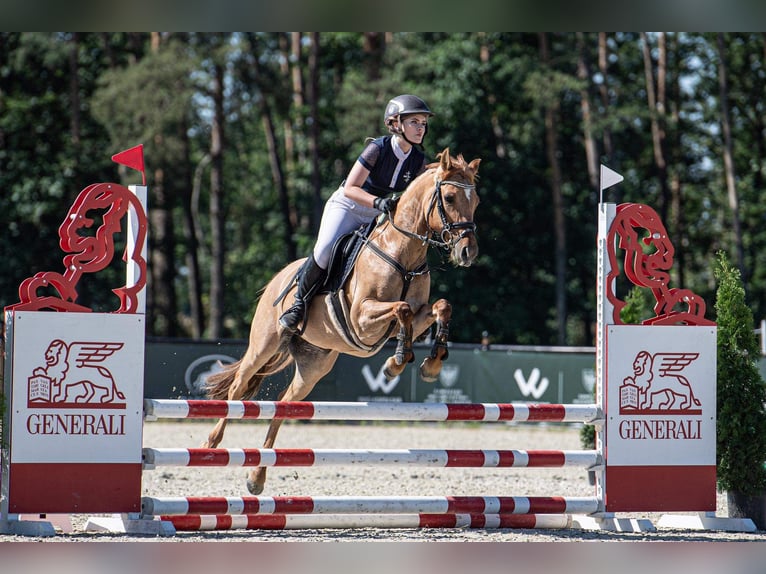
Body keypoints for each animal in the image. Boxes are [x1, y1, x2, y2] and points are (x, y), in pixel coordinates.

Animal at [204, 147, 480, 496]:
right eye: (449, 197)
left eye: (476, 200)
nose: (468, 252)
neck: (402, 252)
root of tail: (277, 279)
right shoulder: (362, 317)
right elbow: (401, 308)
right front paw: (396, 363)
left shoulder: (417, 315)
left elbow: (441, 307)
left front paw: (431, 363)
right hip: (264, 345)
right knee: (238, 388)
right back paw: (212, 443)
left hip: (314, 367)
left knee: (284, 404)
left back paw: (257, 477)